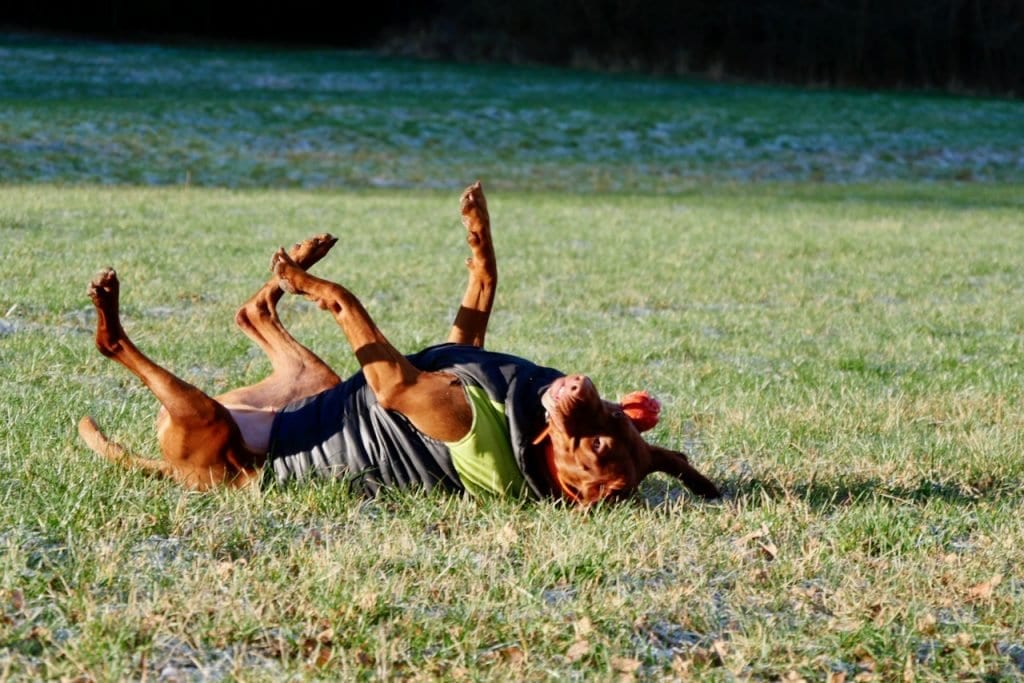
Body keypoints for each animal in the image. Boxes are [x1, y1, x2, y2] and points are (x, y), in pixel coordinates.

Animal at [77, 184, 720, 505]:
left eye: (598, 448)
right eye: (613, 414)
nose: (579, 384)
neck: (522, 424)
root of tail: (167, 467)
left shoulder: (398, 381)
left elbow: (344, 299)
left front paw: (313, 282)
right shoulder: (454, 346)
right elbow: (484, 281)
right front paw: (477, 222)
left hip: (206, 420)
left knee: (119, 347)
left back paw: (112, 304)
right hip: (315, 381)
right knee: (251, 310)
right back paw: (304, 252)